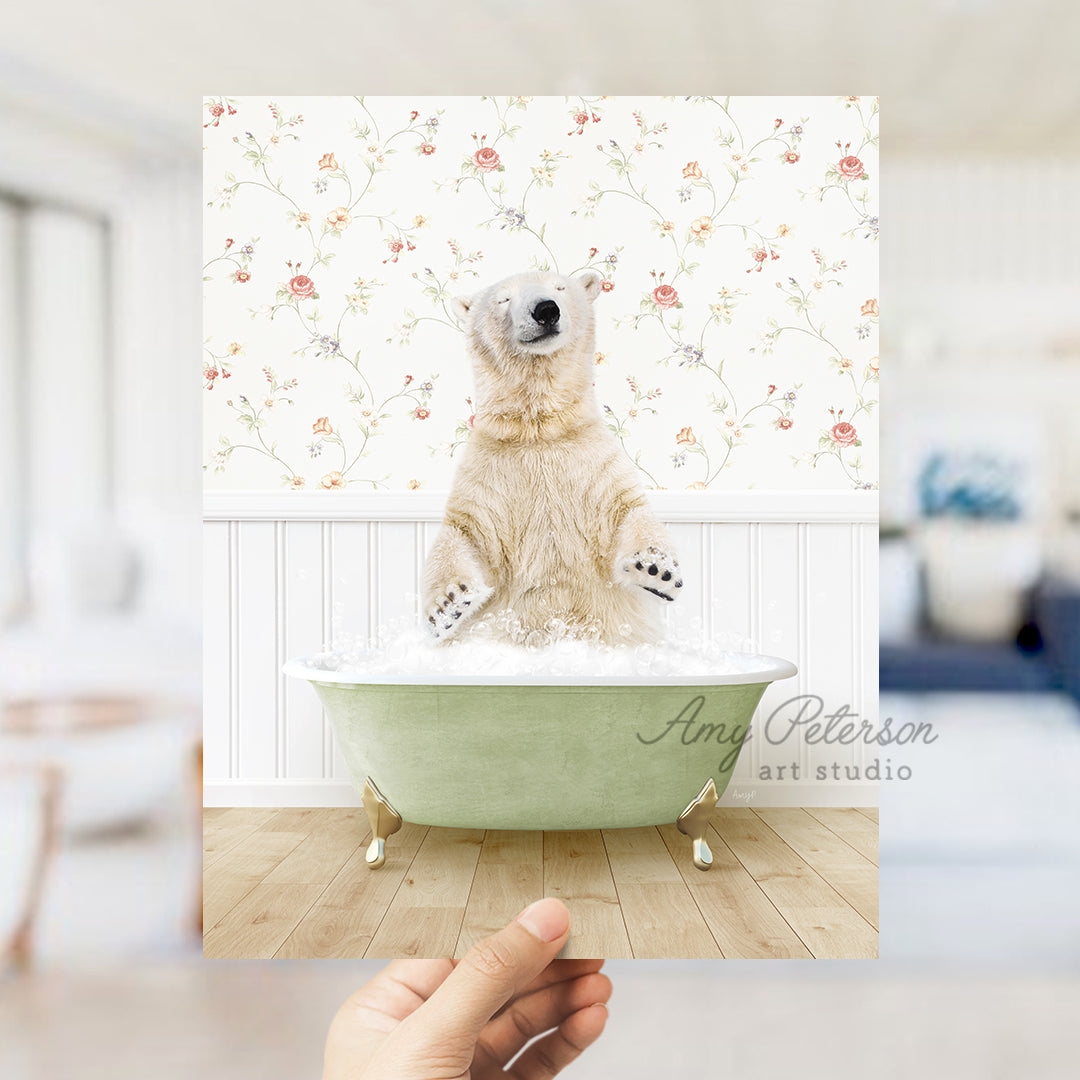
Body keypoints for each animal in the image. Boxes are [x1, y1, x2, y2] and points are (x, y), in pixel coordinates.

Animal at [421, 268, 682, 639]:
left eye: (560, 287)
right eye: (503, 298)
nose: (546, 310)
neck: (538, 427)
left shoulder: (592, 460)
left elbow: (628, 510)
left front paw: (655, 567)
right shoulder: (490, 472)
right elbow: (464, 532)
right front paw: (449, 604)